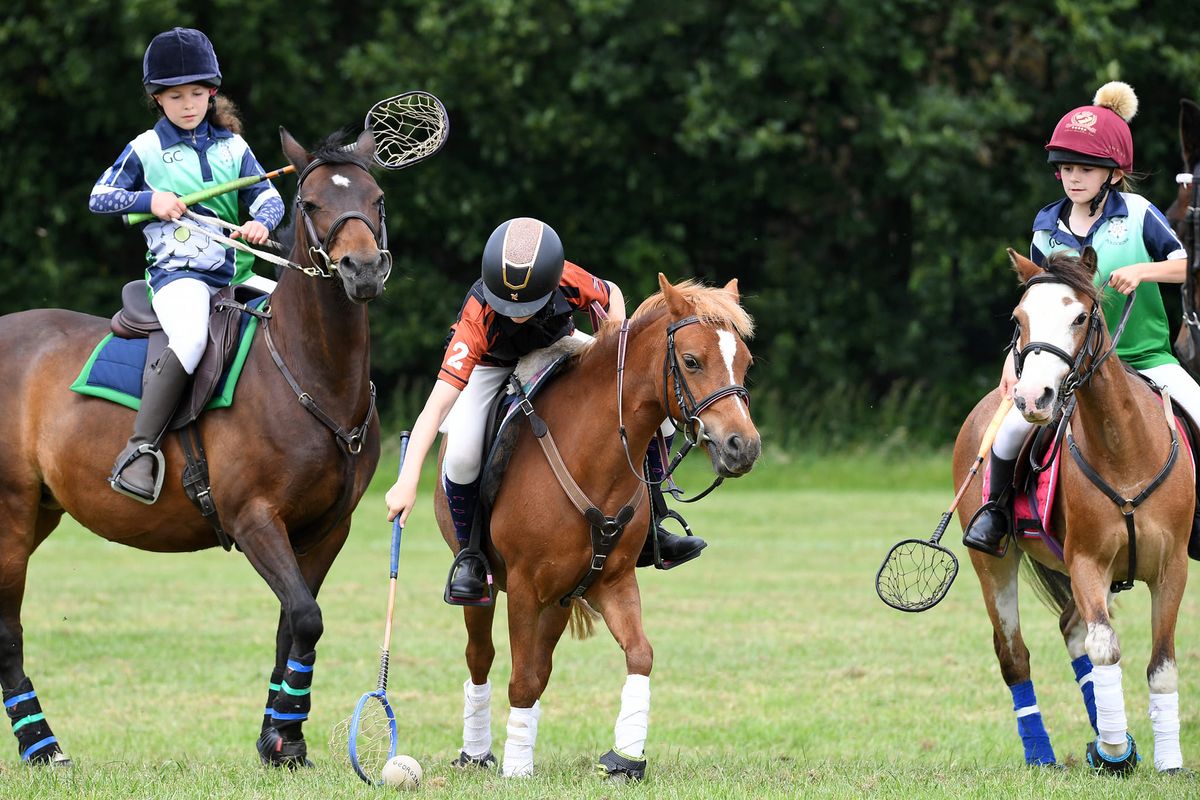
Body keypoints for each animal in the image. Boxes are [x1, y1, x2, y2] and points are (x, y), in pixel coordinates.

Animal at [0, 128, 386, 767]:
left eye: (376, 198)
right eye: (310, 205)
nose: (363, 270)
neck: (309, 373)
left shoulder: (328, 529)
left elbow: (291, 624)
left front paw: (280, 739)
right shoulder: (253, 519)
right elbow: (307, 618)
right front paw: (286, 739)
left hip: (39, 513)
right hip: (10, 511)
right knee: (8, 627)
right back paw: (43, 747)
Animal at [434, 275, 758, 782]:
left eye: (744, 362)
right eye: (691, 361)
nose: (743, 446)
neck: (594, 457)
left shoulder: (613, 579)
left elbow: (639, 654)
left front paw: (625, 757)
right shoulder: (524, 587)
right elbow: (519, 679)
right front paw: (517, 766)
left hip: (561, 598)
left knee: (541, 664)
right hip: (488, 589)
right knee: (482, 658)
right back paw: (477, 752)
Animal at [955, 248, 1190, 777]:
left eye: (1080, 317)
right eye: (1019, 319)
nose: (1031, 397)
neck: (1125, 449)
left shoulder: (1172, 567)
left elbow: (1162, 666)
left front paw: (1165, 760)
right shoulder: (1087, 562)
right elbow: (1105, 648)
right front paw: (1114, 751)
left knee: (1072, 630)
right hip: (994, 562)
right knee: (1015, 655)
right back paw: (1045, 753)